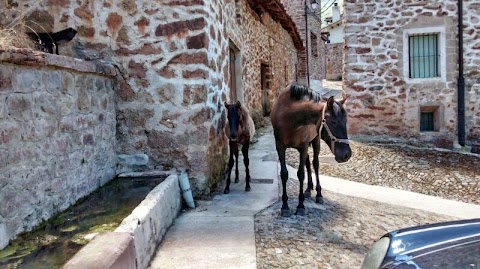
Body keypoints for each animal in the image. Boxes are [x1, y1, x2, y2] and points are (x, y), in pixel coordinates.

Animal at [272, 82, 350, 217]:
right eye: (333, 122)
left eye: (346, 121)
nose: (347, 155)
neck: (289, 117)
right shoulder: (280, 147)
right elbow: (284, 174)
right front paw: (285, 206)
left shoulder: (303, 146)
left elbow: (301, 174)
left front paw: (300, 206)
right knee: (308, 164)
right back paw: (308, 189)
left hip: (315, 141)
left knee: (315, 164)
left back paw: (318, 194)